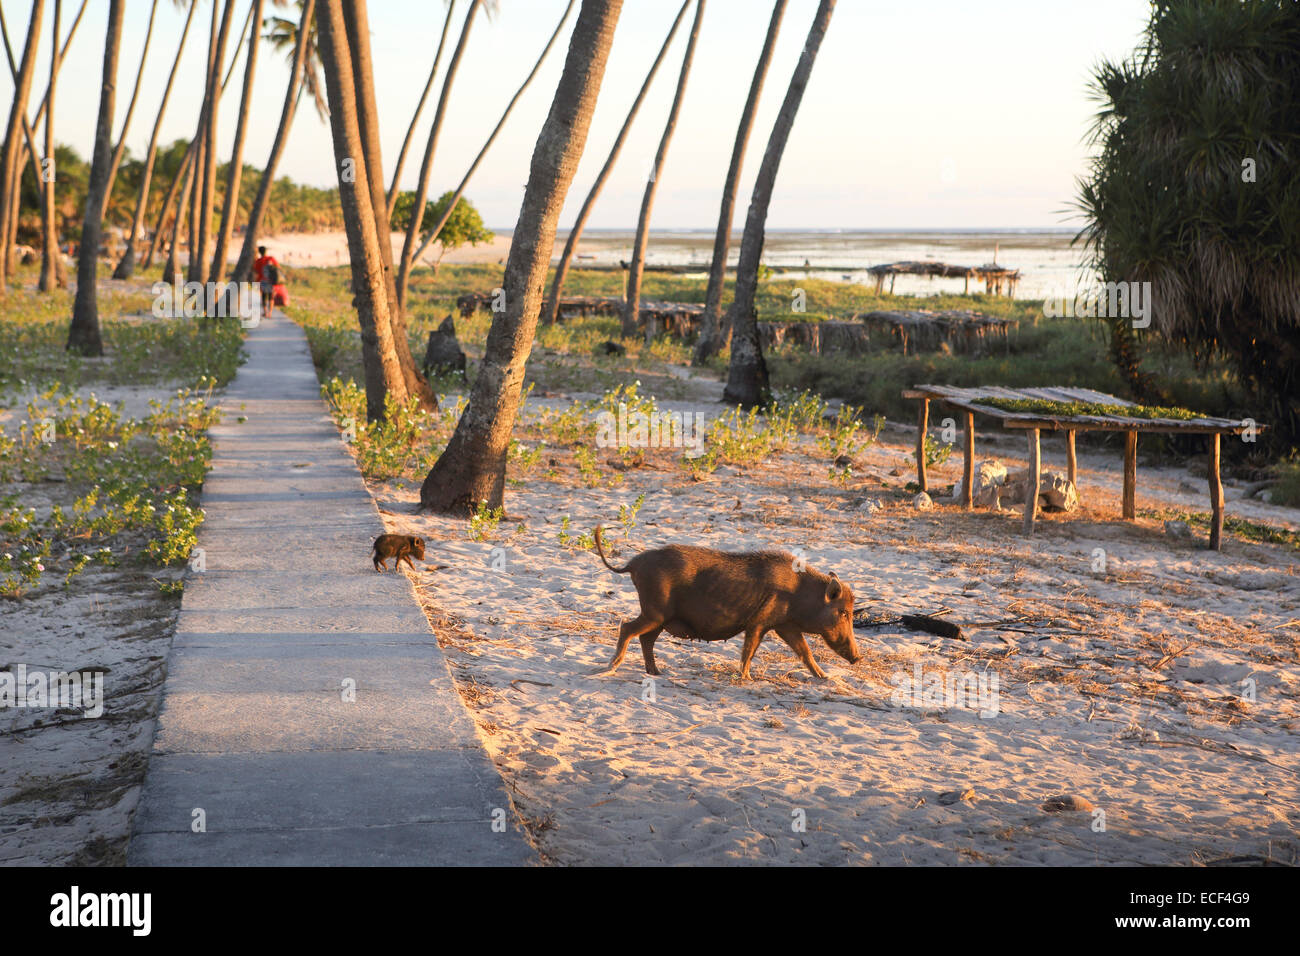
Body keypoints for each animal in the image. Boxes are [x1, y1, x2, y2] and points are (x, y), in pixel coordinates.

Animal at [592, 528, 857, 676]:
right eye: (844, 612)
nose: (858, 658)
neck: (798, 593)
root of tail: (632, 563)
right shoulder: (759, 623)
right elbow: (749, 650)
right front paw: (747, 678)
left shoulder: (784, 626)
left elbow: (805, 652)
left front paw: (825, 677)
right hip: (654, 612)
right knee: (627, 627)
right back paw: (611, 668)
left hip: (659, 617)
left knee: (646, 639)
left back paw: (656, 673)